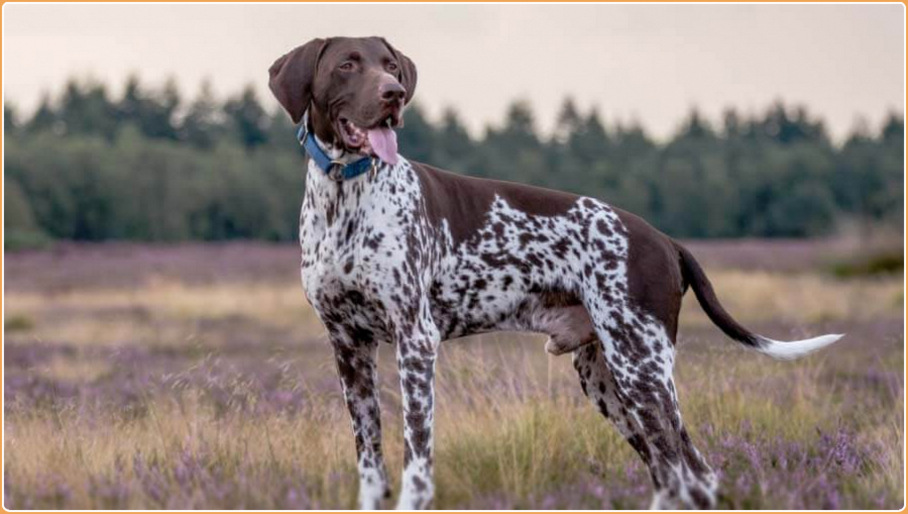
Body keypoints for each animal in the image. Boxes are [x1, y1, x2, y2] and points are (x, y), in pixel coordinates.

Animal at [268, 37, 844, 508]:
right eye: (347, 64)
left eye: (390, 66)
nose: (394, 94)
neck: (345, 197)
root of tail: (664, 241)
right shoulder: (349, 348)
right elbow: (370, 464)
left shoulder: (415, 342)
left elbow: (417, 463)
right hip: (607, 379)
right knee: (670, 475)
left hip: (643, 371)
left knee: (692, 473)